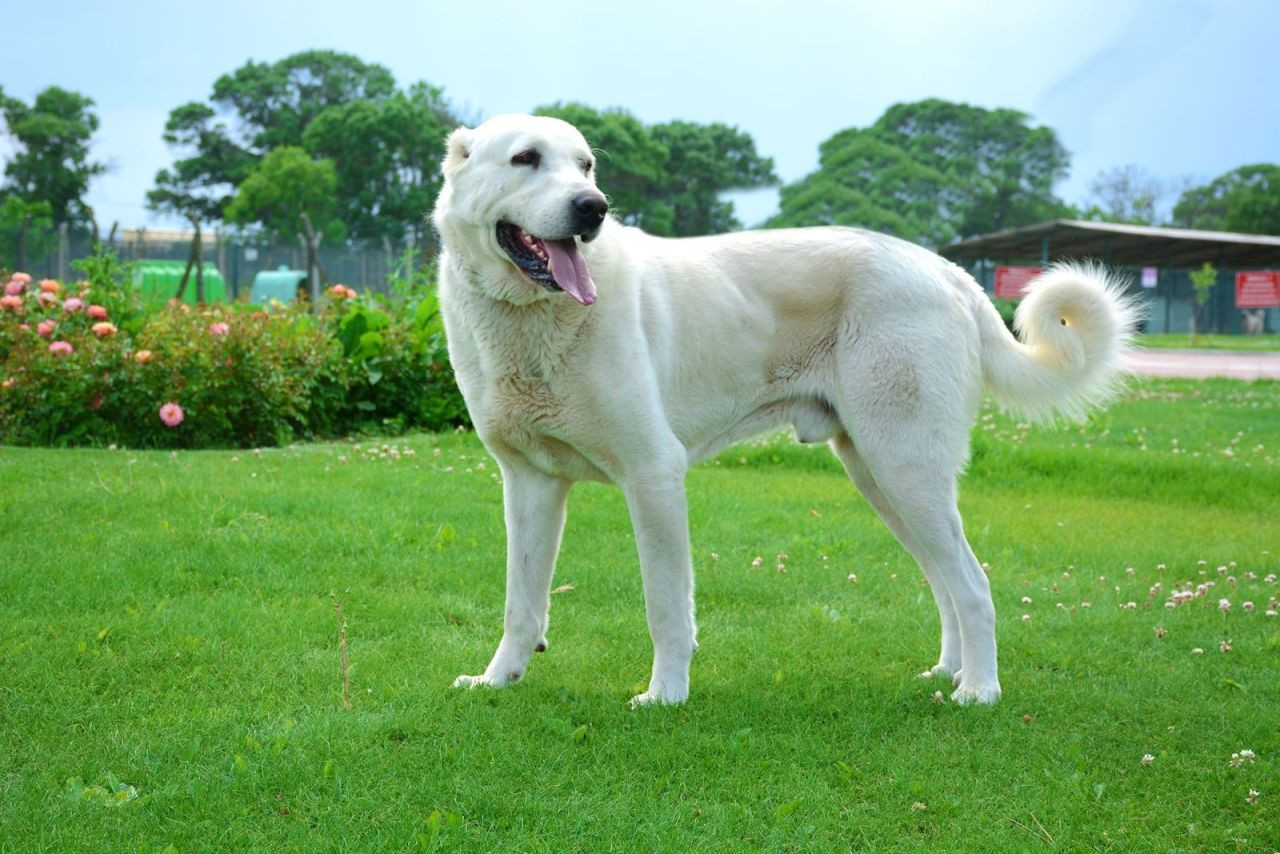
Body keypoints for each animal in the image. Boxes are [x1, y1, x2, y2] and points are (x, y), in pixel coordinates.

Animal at [435, 113, 1136, 706]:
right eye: (525, 158)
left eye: (585, 166)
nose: (593, 207)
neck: (531, 320)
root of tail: (947, 271)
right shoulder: (529, 485)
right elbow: (521, 603)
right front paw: (498, 680)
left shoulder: (654, 476)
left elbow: (665, 606)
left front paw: (665, 696)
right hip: (882, 476)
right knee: (945, 580)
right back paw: (949, 673)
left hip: (906, 467)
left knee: (973, 583)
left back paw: (980, 692)